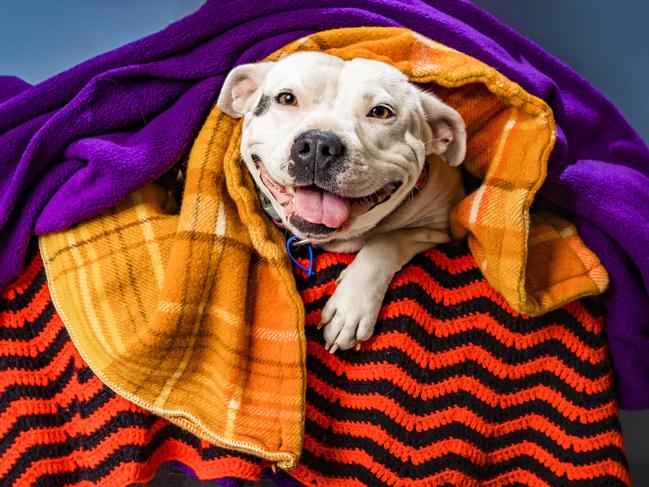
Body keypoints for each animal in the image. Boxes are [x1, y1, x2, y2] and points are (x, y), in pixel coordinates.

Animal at [218, 50, 466, 354]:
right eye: (286, 98)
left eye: (381, 112)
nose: (319, 144)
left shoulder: (440, 228)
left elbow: (387, 241)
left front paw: (351, 307)